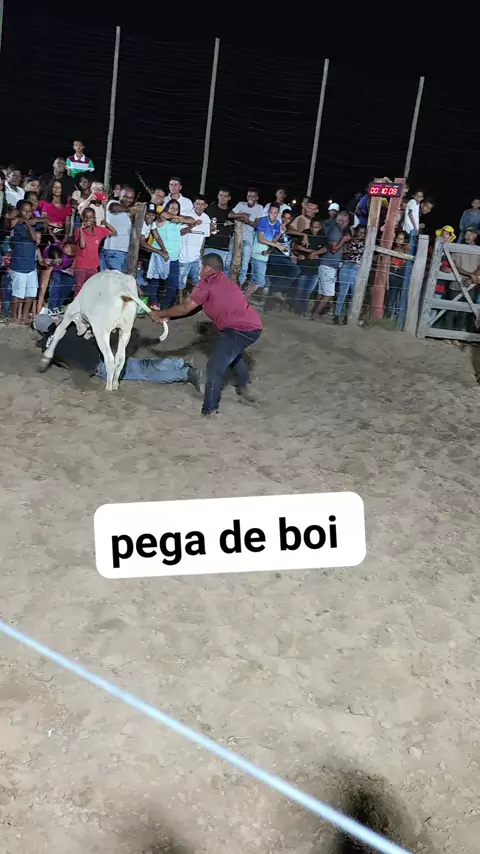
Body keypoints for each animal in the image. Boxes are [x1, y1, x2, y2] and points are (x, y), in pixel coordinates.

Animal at [38, 270, 169, 391]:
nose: (80, 333)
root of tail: (124, 288)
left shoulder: (71, 312)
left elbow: (59, 332)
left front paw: (45, 360)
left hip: (102, 332)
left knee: (110, 359)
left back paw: (108, 387)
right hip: (125, 331)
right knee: (120, 358)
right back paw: (115, 384)